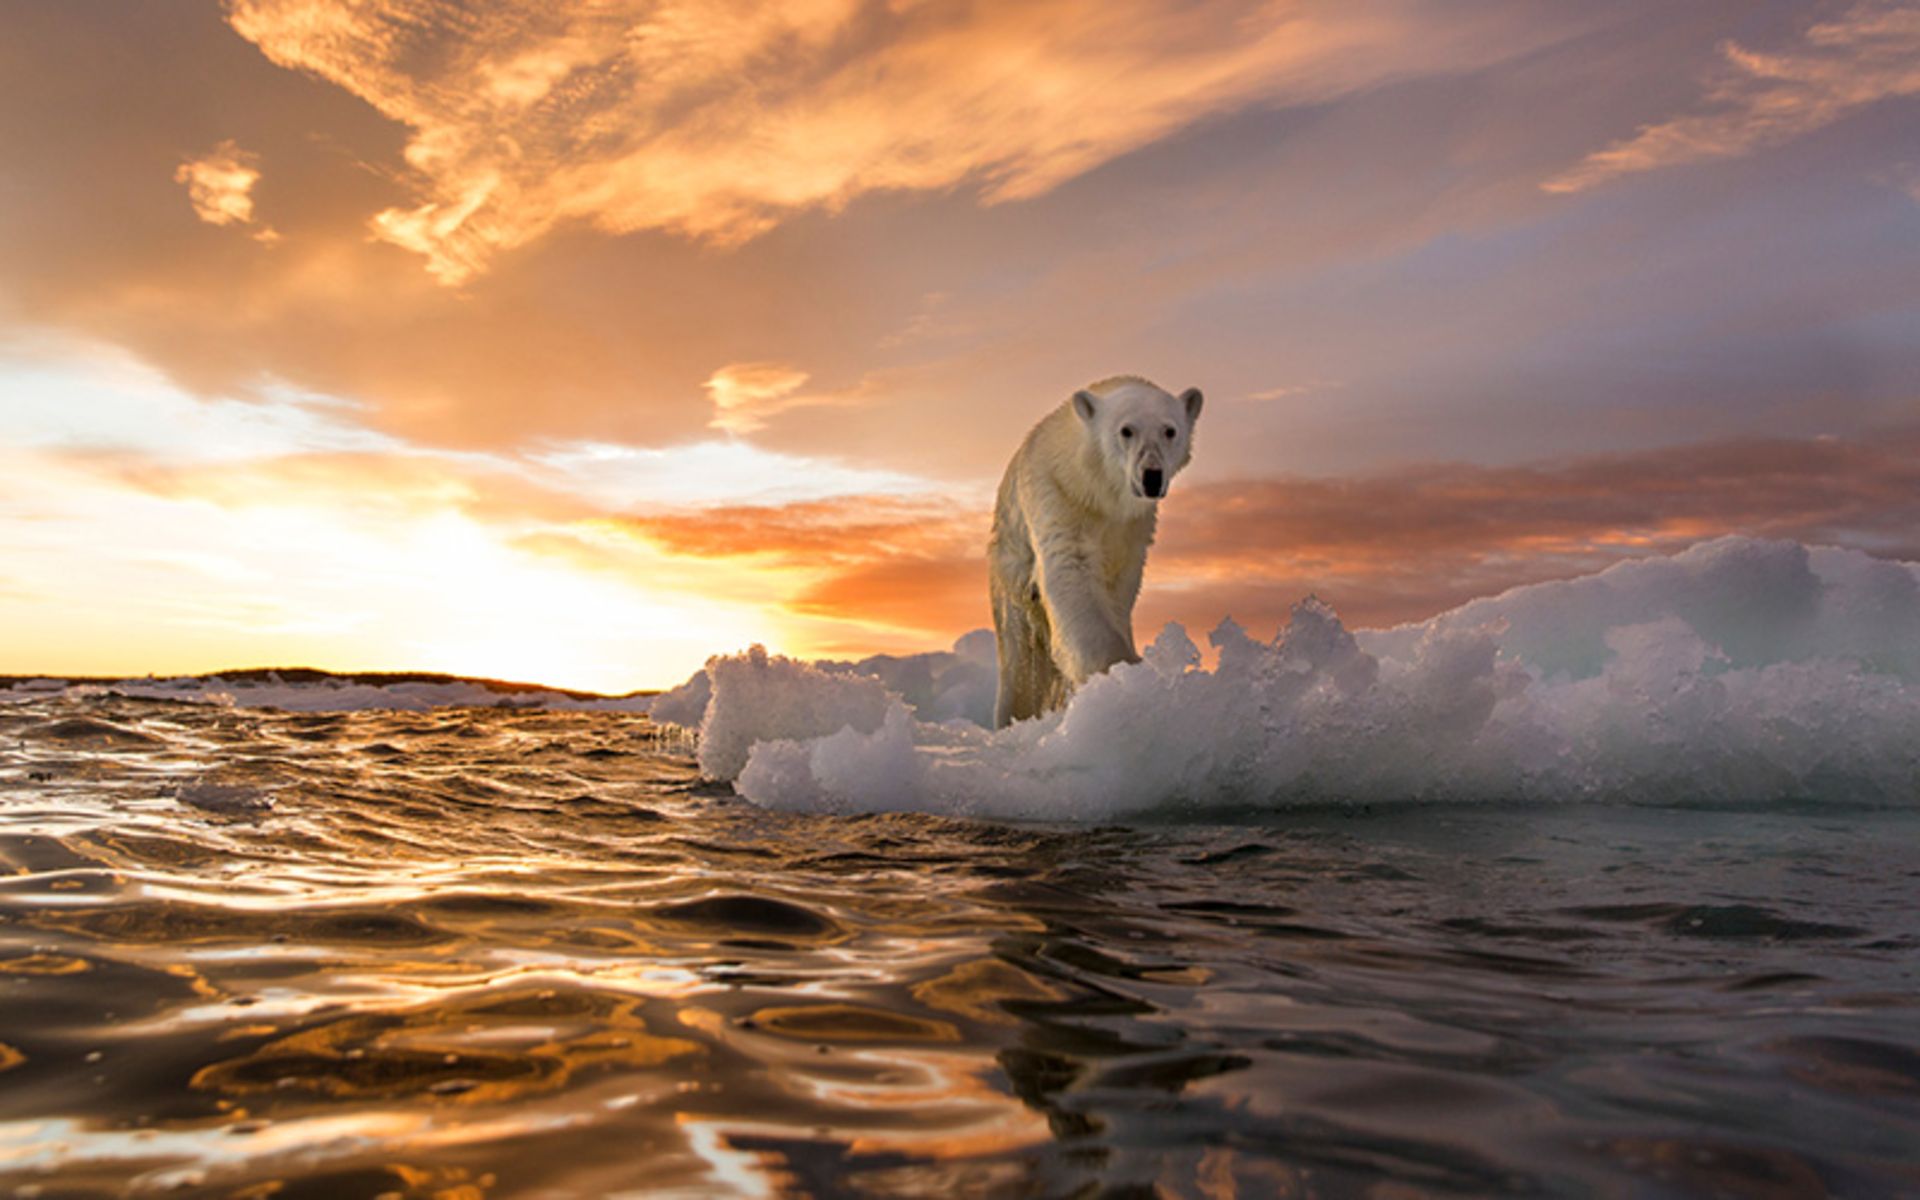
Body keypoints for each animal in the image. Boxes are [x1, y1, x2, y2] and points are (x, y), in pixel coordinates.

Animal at [988, 375, 1203, 728]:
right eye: (1126, 430)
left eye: (1170, 430)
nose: (1152, 476)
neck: (1099, 491)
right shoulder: (1059, 497)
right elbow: (1070, 572)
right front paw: (1121, 671)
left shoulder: (1132, 529)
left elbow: (1118, 589)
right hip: (1011, 575)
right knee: (1021, 660)